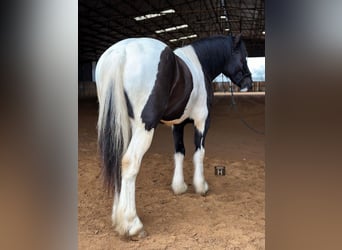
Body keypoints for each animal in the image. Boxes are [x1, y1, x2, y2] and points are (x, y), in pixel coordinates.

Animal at [95, 34, 252, 237]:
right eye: (243, 55)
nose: (248, 83)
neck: (200, 63)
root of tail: (121, 52)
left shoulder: (177, 125)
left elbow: (179, 152)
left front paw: (179, 187)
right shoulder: (202, 121)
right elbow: (198, 153)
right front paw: (201, 186)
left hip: (121, 124)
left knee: (116, 160)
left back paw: (118, 217)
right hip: (144, 127)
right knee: (129, 162)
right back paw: (132, 224)